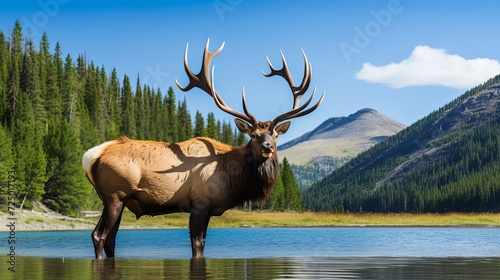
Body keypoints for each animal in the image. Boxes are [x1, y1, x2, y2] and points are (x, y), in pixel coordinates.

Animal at [82, 39, 324, 258]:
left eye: (274, 135)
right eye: (253, 135)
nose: (267, 147)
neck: (233, 178)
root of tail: (91, 155)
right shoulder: (200, 204)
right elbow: (198, 246)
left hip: (116, 200)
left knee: (111, 239)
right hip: (115, 195)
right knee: (98, 235)